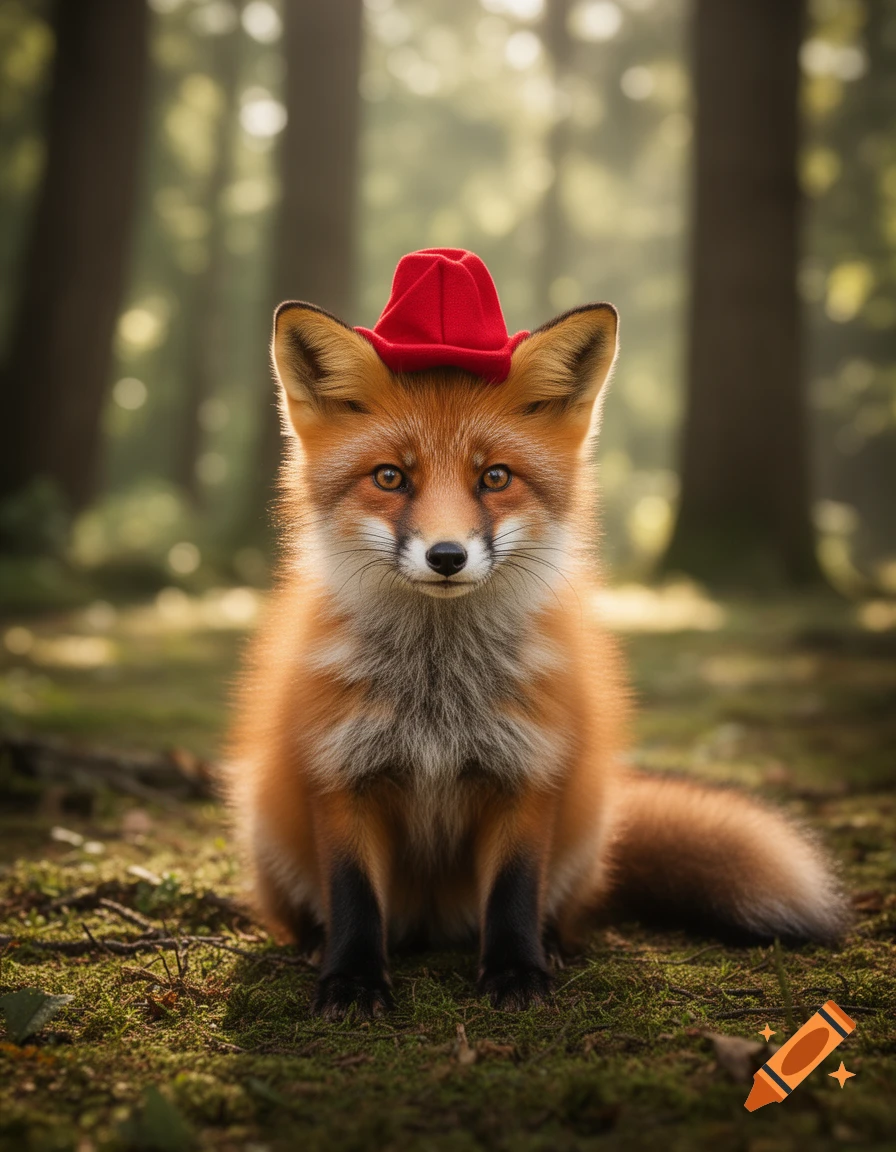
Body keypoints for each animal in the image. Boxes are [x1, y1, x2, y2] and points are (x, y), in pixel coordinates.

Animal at [226, 255, 847, 1020]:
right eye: (390, 477)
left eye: (495, 477)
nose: (446, 556)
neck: (439, 700)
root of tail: (433, 925)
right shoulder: (341, 776)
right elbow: (353, 898)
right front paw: (352, 980)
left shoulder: (530, 773)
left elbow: (515, 894)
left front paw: (517, 972)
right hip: (265, 821)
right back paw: (315, 945)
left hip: (586, 827)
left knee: (557, 907)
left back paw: (553, 944)